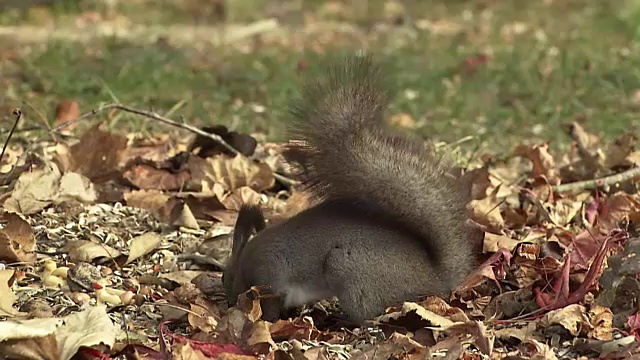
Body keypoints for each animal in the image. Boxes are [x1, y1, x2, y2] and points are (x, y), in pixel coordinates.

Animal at [222, 55, 482, 324]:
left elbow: (271, 305)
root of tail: (435, 278)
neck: (244, 262)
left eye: (224, 278)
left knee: (365, 314)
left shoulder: (269, 277)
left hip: (346, 269)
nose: (228, 301)